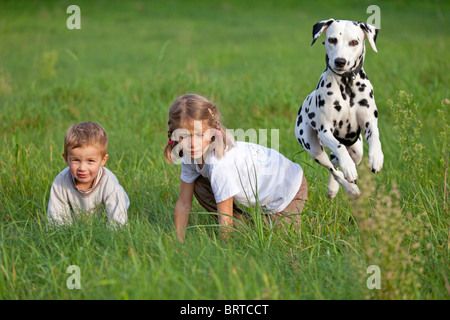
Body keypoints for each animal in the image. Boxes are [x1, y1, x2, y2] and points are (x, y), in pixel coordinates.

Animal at [296, 18, 384, 199]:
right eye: (332, 40)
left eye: (354, 42)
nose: (340, 61)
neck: (347, 86)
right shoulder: (325, 131)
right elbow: (339, 148)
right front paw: (348, 169)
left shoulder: (370, 123)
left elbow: (375, 137)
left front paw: (376, 158)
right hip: (313, 147)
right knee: (333, 167)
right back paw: (346, 188)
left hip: (356, 150)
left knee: (335, 161)